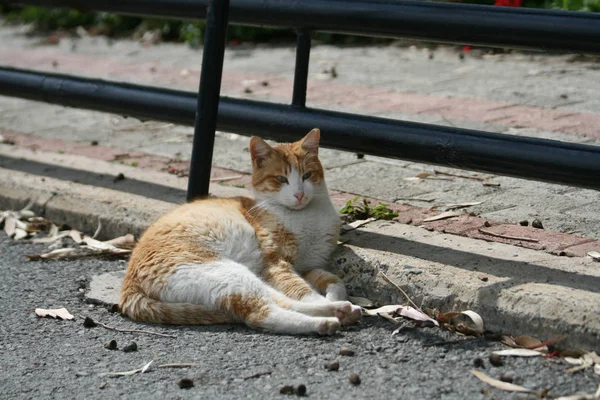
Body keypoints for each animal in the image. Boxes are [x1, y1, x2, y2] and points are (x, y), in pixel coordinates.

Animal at [119, 129, 358, 334]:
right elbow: (303, 291)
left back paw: (341, 310)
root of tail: (128, 288)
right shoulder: (275, 263)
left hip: (244, 279)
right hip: (229, 274)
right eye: (281, 179)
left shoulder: (306, 267)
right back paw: (328, 319)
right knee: (262, 314)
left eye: (307, 175)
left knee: (277, 302)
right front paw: (326, 301)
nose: (299, 195)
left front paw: (335, 296)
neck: (306, 216)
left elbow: (333, 280)